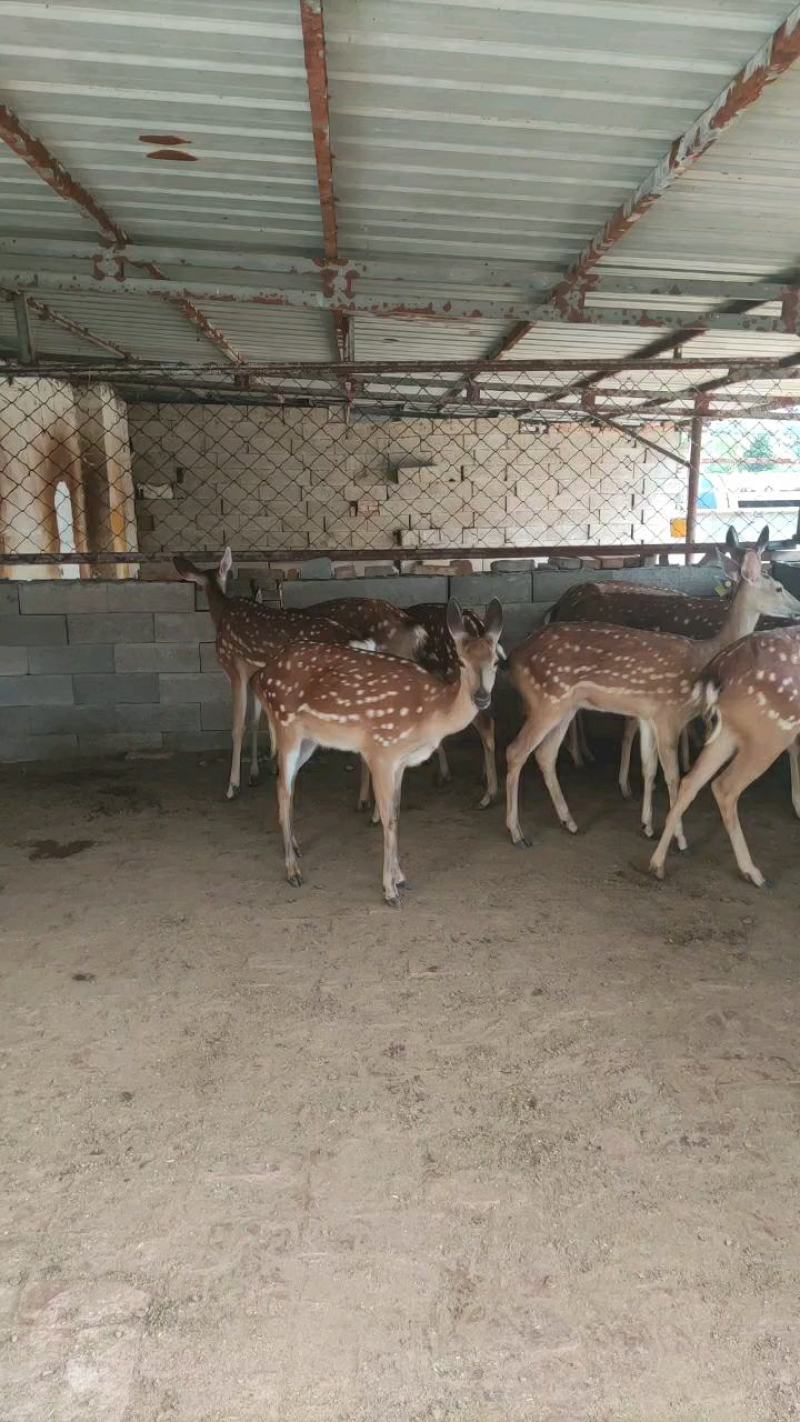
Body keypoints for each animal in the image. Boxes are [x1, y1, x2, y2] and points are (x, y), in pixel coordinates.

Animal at [173, 549, 426, 800]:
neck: (222, 613)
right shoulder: (255, 671)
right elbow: (256, 720)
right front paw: (258, 772)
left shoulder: (234, 667)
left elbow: (238, 727)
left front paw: (233, 785)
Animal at [250, 599, 503, 905]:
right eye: (462, 662)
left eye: (496, 661)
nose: (482, 697)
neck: (430, 712)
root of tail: (261, 676)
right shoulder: (381, 750)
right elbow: (387, 819)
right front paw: (390, 890)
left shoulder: (401, 762)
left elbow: (396, 812)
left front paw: (401, 877)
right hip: (285, 725)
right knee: (283, 789)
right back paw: (293, 871)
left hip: (309, 740)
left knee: (288, 784)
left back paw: (296, 848)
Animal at [504, 527, 800, 851]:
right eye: (779, 587)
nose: (798, 608)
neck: (704, 655)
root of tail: (513, 658)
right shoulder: (669, 713)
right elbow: (673, 776)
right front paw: (679, 839)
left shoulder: (649, 715)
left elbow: (649, 767)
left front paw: (647, 825)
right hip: (546, 701)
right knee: (516, 751)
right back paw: (517, 832)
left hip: (564, 706)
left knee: (545, 754)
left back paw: (569, 821)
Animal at [649, 626, 800, 886]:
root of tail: (719, 669)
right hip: (771, 732)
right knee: (724, 785)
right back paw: (753, 873)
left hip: (730, 730)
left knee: (691, 781)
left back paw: (657, 864)